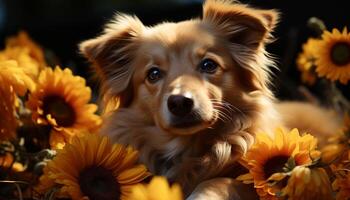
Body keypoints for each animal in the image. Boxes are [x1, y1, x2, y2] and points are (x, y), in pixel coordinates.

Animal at [80, 0, 342, 199]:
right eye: (153, 74)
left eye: (209, 65)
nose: (179, 102)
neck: (187, 149)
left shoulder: (252, 182)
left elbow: (218, 182)